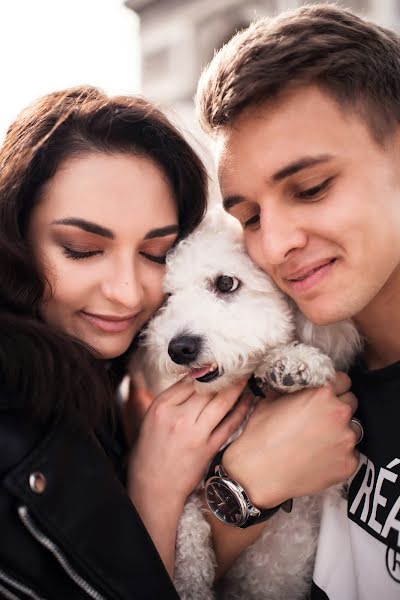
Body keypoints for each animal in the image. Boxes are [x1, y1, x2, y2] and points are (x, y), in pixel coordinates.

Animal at [136, 210, 360, 600]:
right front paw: (191, 580)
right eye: (167, 298)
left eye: (226, 283)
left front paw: (294, 363)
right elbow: (189, 520)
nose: (179, 348)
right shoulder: (194, 487)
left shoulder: (328, 487)